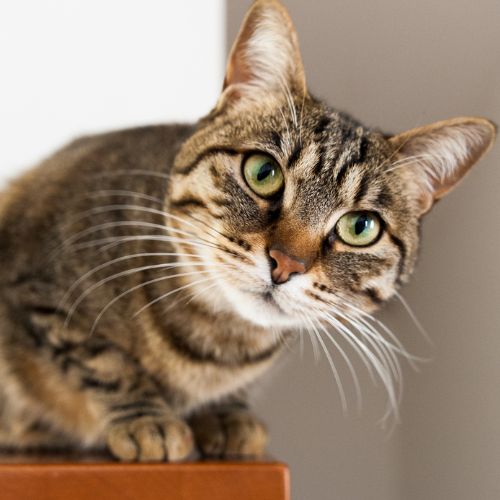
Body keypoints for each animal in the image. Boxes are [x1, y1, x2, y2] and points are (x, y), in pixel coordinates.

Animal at [0, 0, 494, 460]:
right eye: (262, 172)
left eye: (360, 226)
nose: (285, 264)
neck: (220, 345)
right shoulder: (39, 286)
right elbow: (101, 359)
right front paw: (148, 419)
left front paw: (226, 415)